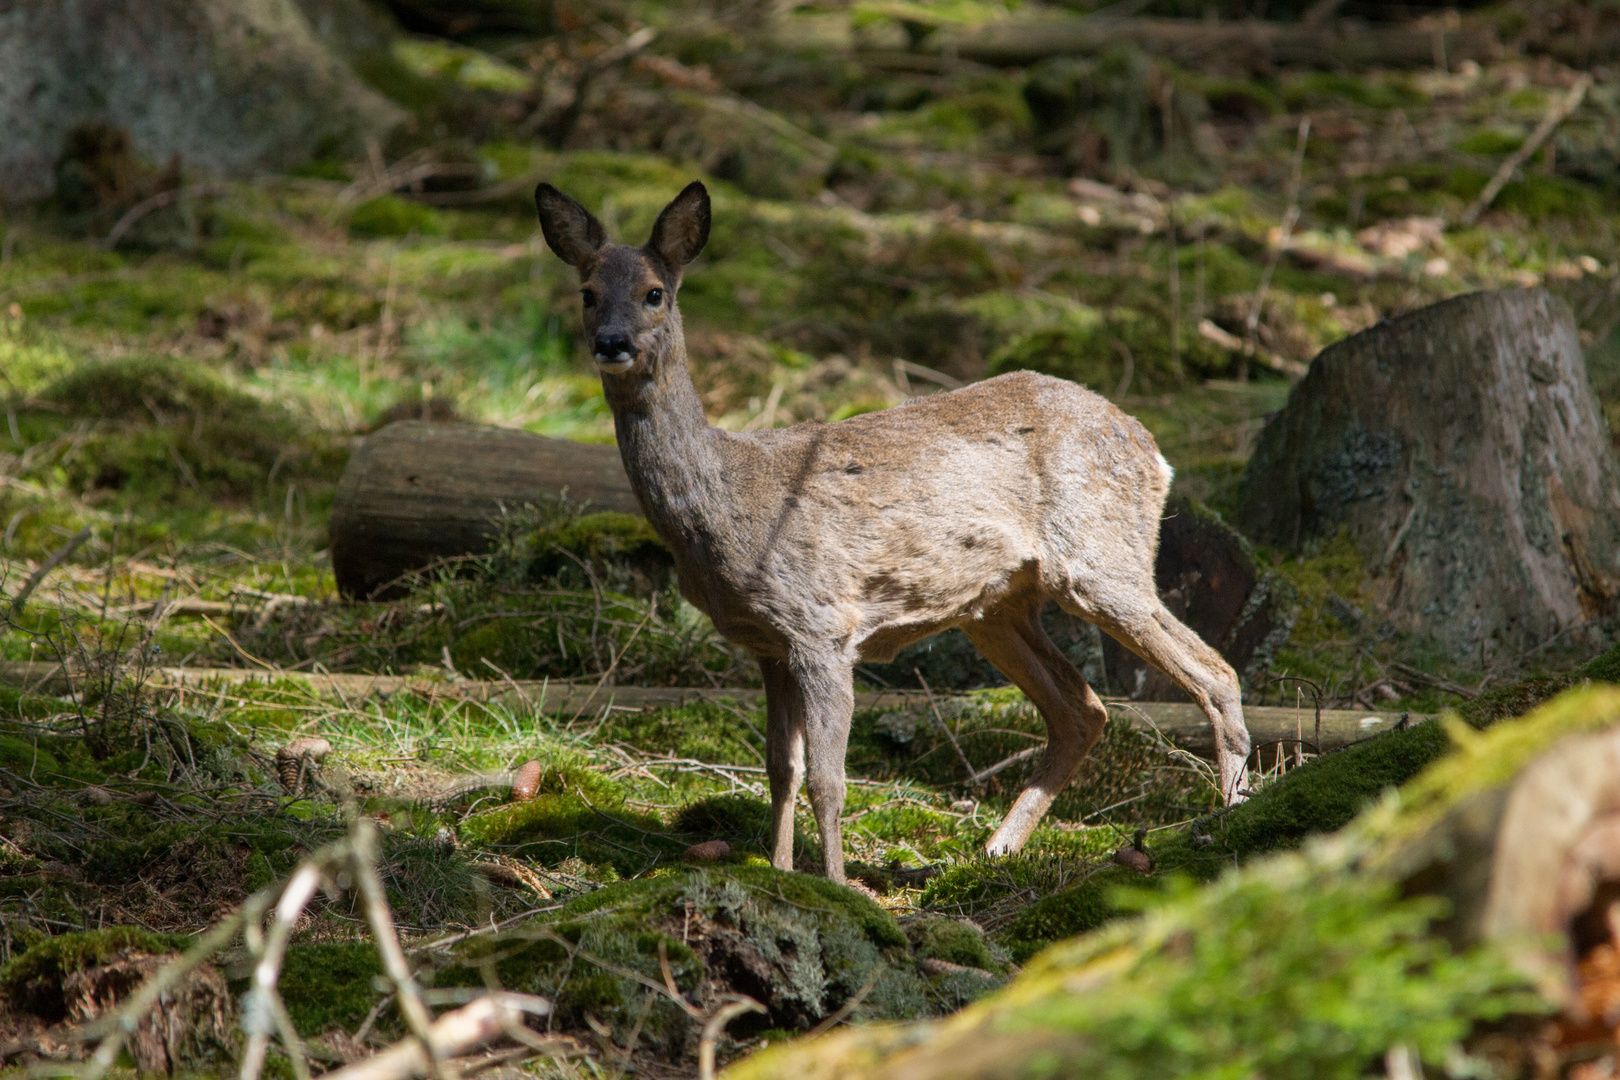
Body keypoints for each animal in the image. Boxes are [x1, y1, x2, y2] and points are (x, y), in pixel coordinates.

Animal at [534, 181, 1250, 880]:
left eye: (655, 292)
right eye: (587, 292)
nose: (612, 343)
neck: (727, 505)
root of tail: (1152, 448)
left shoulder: (822, 624)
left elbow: (827, 781)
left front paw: (835, 885)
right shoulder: (768, 645)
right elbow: (780, 770)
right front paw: (780, 874)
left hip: (1098, 556)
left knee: (1215, 672)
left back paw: (1226, 820)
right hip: (996, 604)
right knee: (1084, 709)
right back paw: (996, 850)